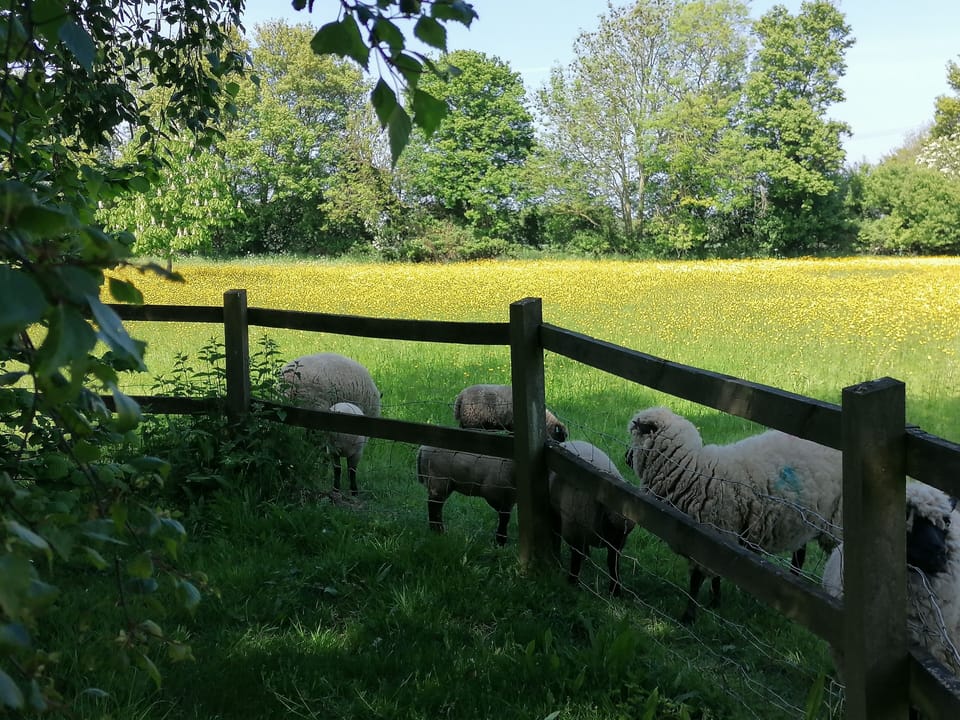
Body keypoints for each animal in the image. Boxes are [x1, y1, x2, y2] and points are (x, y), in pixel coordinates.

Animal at [548, 440, 636, 596]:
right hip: (557, 512)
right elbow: (576, 559)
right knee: (556, 535)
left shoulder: (617, 544)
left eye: (624, 533)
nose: (613, 540)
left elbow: (612, 563)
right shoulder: (574, 533)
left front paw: (615, 590)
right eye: (609, 525)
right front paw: (573, 582)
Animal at [626, 406, 842, 622]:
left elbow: (696, 581)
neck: (692, 470)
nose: (625, 457)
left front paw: (689, 616)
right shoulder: (718, 538)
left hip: (834, 525)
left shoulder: (710, 535)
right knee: (799, 554)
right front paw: (715, 603)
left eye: (634, 432)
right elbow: (717, 576)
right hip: (803, 518)